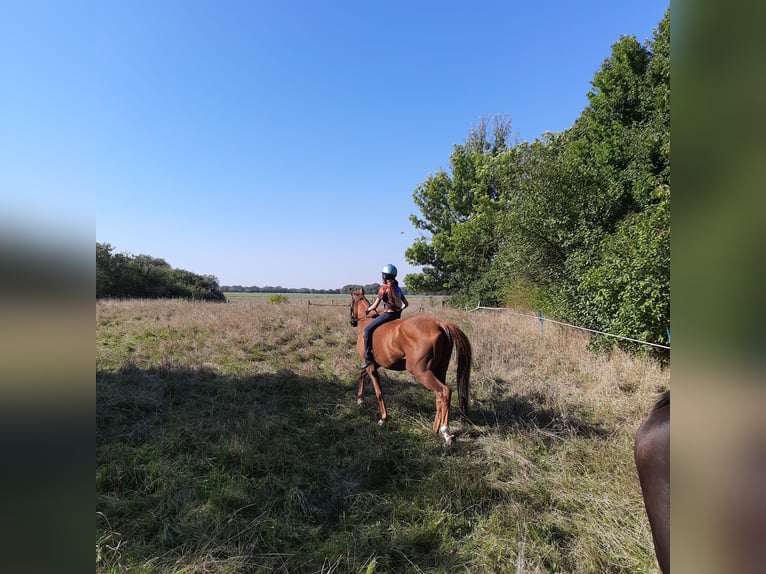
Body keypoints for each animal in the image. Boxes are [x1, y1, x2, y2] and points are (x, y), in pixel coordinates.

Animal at [350, 288, 472, 446]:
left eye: (350, 304)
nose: (352, 322)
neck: (366, 322)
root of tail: (440, 324)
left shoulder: (371, 366)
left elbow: (378, 392)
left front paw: (383, 419)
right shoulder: (373, 365)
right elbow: (361, 375)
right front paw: (360, 400)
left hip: (421, 372)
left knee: (444, 392)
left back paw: (446, 432)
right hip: (439, 371)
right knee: (439, 396)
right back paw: (435, 429)